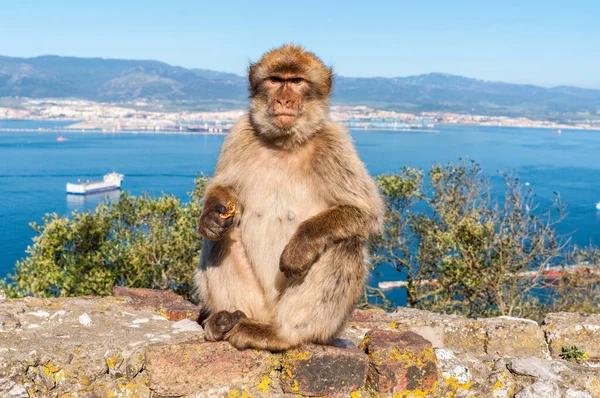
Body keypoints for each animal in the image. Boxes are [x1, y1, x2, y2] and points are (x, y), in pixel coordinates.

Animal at [197, 44, 384, 352]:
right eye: (275, 80)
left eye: (296, 81)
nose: (284, 100)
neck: (284, 144)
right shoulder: (239, 134)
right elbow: (225, 190)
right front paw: (211, 214)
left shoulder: (334, 144)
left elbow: (365, 211)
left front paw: (301, 245)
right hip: (256, 301)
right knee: (222, 237)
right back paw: (225, 319)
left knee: (346, 243)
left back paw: (280, 335)